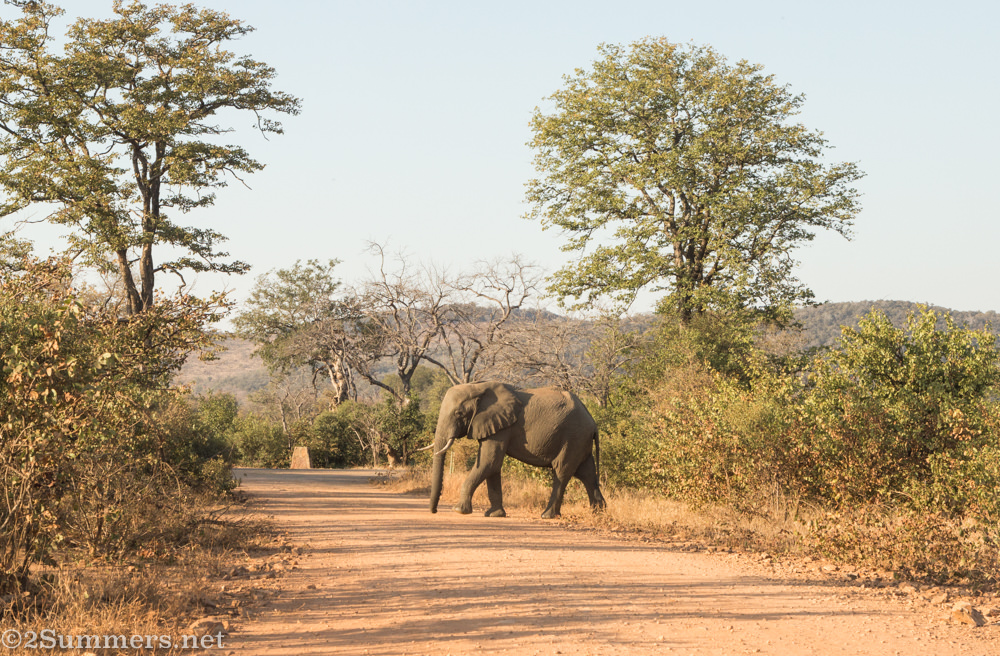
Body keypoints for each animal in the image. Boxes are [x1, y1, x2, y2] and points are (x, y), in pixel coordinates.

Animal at [428, 381, 606, 519]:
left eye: (459, 413)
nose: (434, 511)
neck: (478, 387)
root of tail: (593, 423)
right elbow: (493, 466)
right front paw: (494, 515)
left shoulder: (502, 427)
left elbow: (489, 462)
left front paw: (459, 510)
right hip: (579, 440)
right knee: (587, 473)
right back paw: (599, 513)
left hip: (573, 437)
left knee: (562, 471)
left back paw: (547, 516)